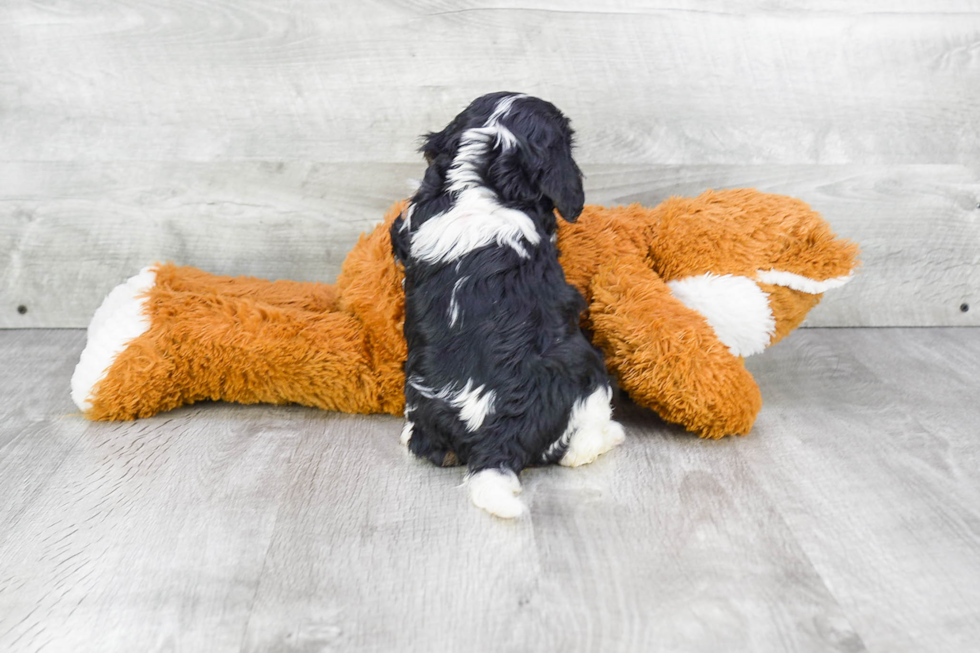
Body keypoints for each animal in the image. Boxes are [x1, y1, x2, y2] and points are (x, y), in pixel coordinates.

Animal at [388, 93, 624, 520]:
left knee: (425, 444)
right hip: (587, 372)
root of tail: (494, 441)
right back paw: (609, 436)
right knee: (576, 448)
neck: (478, 182)